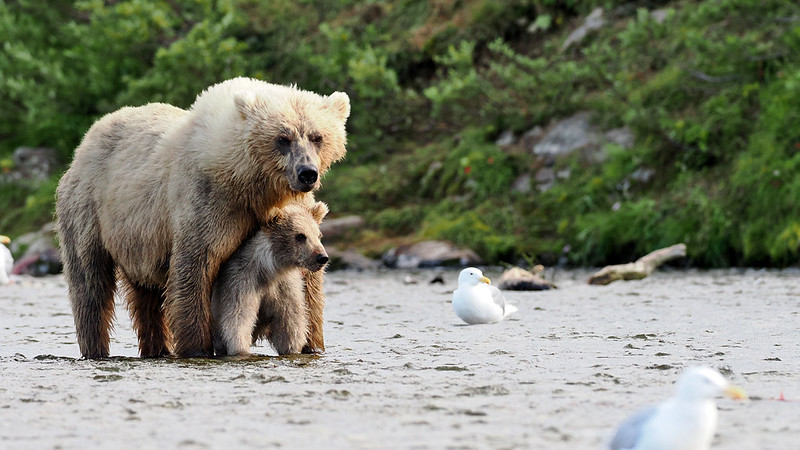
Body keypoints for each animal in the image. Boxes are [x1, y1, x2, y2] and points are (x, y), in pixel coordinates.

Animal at [212, 201, 329, 356]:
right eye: (300, 236)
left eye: (318, 235)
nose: (322, 257)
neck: (269, 270)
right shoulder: (241, 280)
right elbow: (238, 318)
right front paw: (240, 350)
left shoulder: (284, 287)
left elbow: (290, 324)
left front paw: (293, 349)